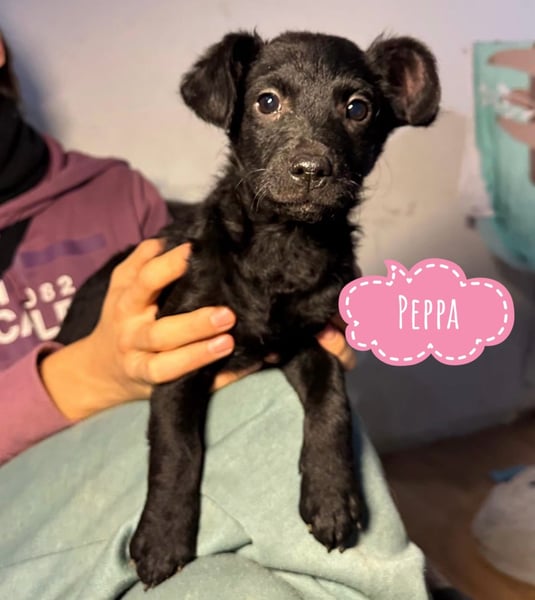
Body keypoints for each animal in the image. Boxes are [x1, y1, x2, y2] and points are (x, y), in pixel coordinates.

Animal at [58, 30, 440, 587]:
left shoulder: (307, 340)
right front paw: (163, 537)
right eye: (267, 102)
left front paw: (331, 495)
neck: (284, 244)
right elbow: (178, 448)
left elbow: (333, 402)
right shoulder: (179, 355)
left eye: (357, 108)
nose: (311, 170)